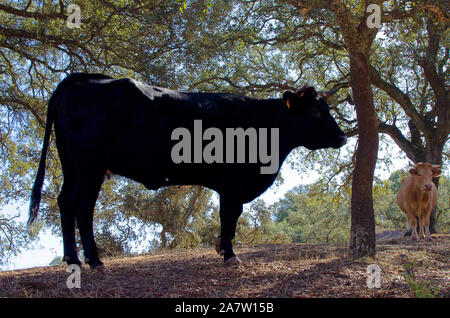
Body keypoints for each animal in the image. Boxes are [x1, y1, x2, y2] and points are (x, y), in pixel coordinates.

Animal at [26, 74, 346, 268]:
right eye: (315, 111)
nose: (343, 137)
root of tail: (79, 78)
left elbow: (232, 218)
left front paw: (222, 248)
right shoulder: (232, 182)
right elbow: (229, 216)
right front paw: (229, 254)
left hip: (73, 167)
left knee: (65, 203)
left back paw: (72, 259)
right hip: (89, 167)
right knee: (82, 207)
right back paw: (94, 261)